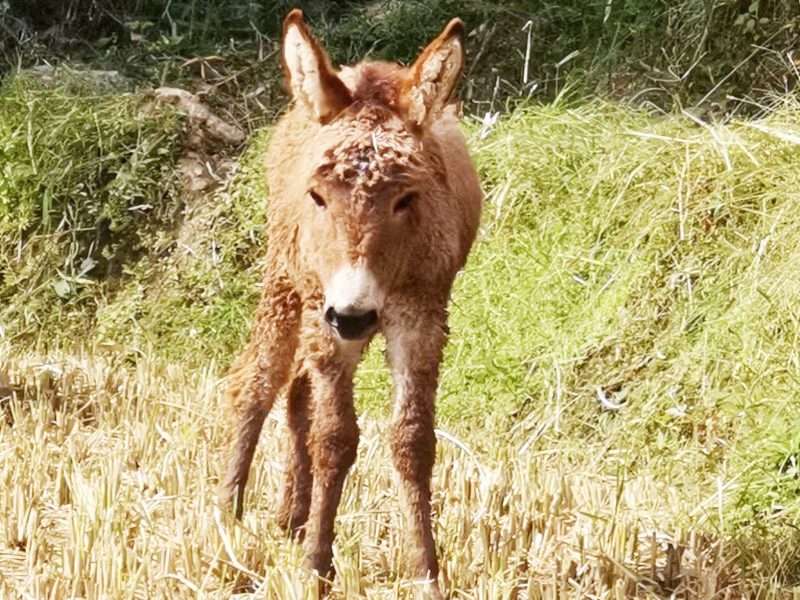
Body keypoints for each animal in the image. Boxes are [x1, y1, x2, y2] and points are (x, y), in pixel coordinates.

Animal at [219, 8, 482, 596]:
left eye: (406, 198)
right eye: (318, 196)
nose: (354, 313)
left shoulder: (422, 318)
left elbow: (412, 441)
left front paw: (426, 572)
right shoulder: (325, 314)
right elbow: (335, 437)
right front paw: (316, 570)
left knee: (296, 391)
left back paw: (290, 517)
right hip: (286, 284)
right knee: (257, 380)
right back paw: (226, 523)